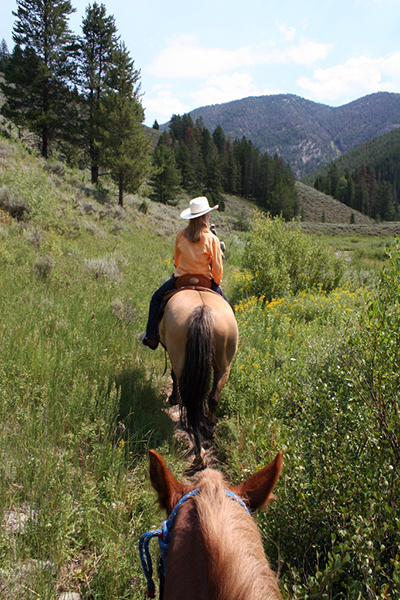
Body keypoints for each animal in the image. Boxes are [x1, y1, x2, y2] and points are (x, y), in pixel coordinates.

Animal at [157, 288, 238, 450]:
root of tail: (203, 310)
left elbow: (173, 376)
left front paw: (173, 398)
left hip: (181, 361)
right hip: (224, 366)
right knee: (213, 397)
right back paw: (209, 428)